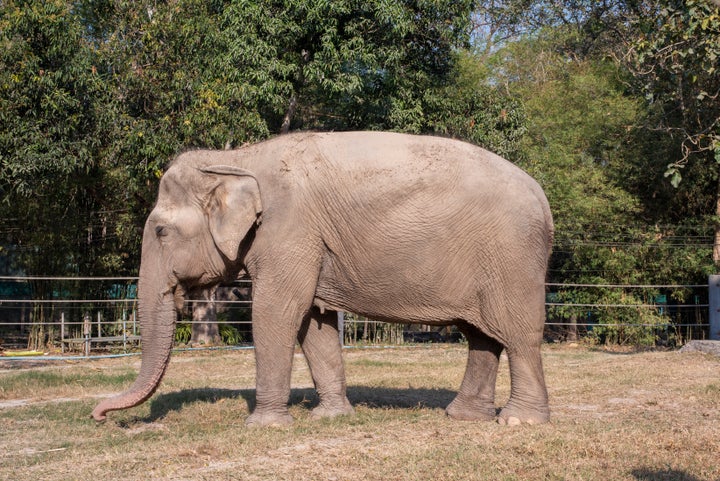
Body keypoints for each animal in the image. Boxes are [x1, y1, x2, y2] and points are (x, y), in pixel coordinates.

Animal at [93, 130, 556, 424]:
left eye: (160, 231)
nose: (98, 414)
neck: (238, 159)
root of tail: (544, 199)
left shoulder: (289, 230)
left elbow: (278, 311)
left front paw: (264, 425)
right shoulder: (310, 242)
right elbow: (313, 321)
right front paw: (329, 417)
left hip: (512, 257)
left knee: (516, 333)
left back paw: (519, 422)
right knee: (481, 335)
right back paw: (464, 417)